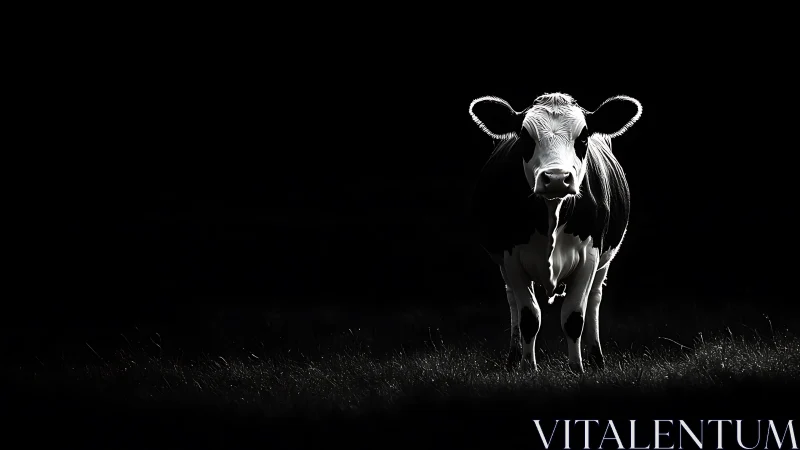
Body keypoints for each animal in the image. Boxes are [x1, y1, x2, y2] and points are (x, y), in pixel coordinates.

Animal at [468, 92, 642, 373]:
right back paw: (513, 358)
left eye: (583, 136)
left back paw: (596, 359)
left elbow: (574, 317)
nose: (558, 177)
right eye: (525, 136)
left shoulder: (590, 256)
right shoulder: (510, 256)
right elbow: (529, 317)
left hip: (604, 262)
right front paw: (528, 367)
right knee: (512, 302)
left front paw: (577, 369)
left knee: (594, 300)